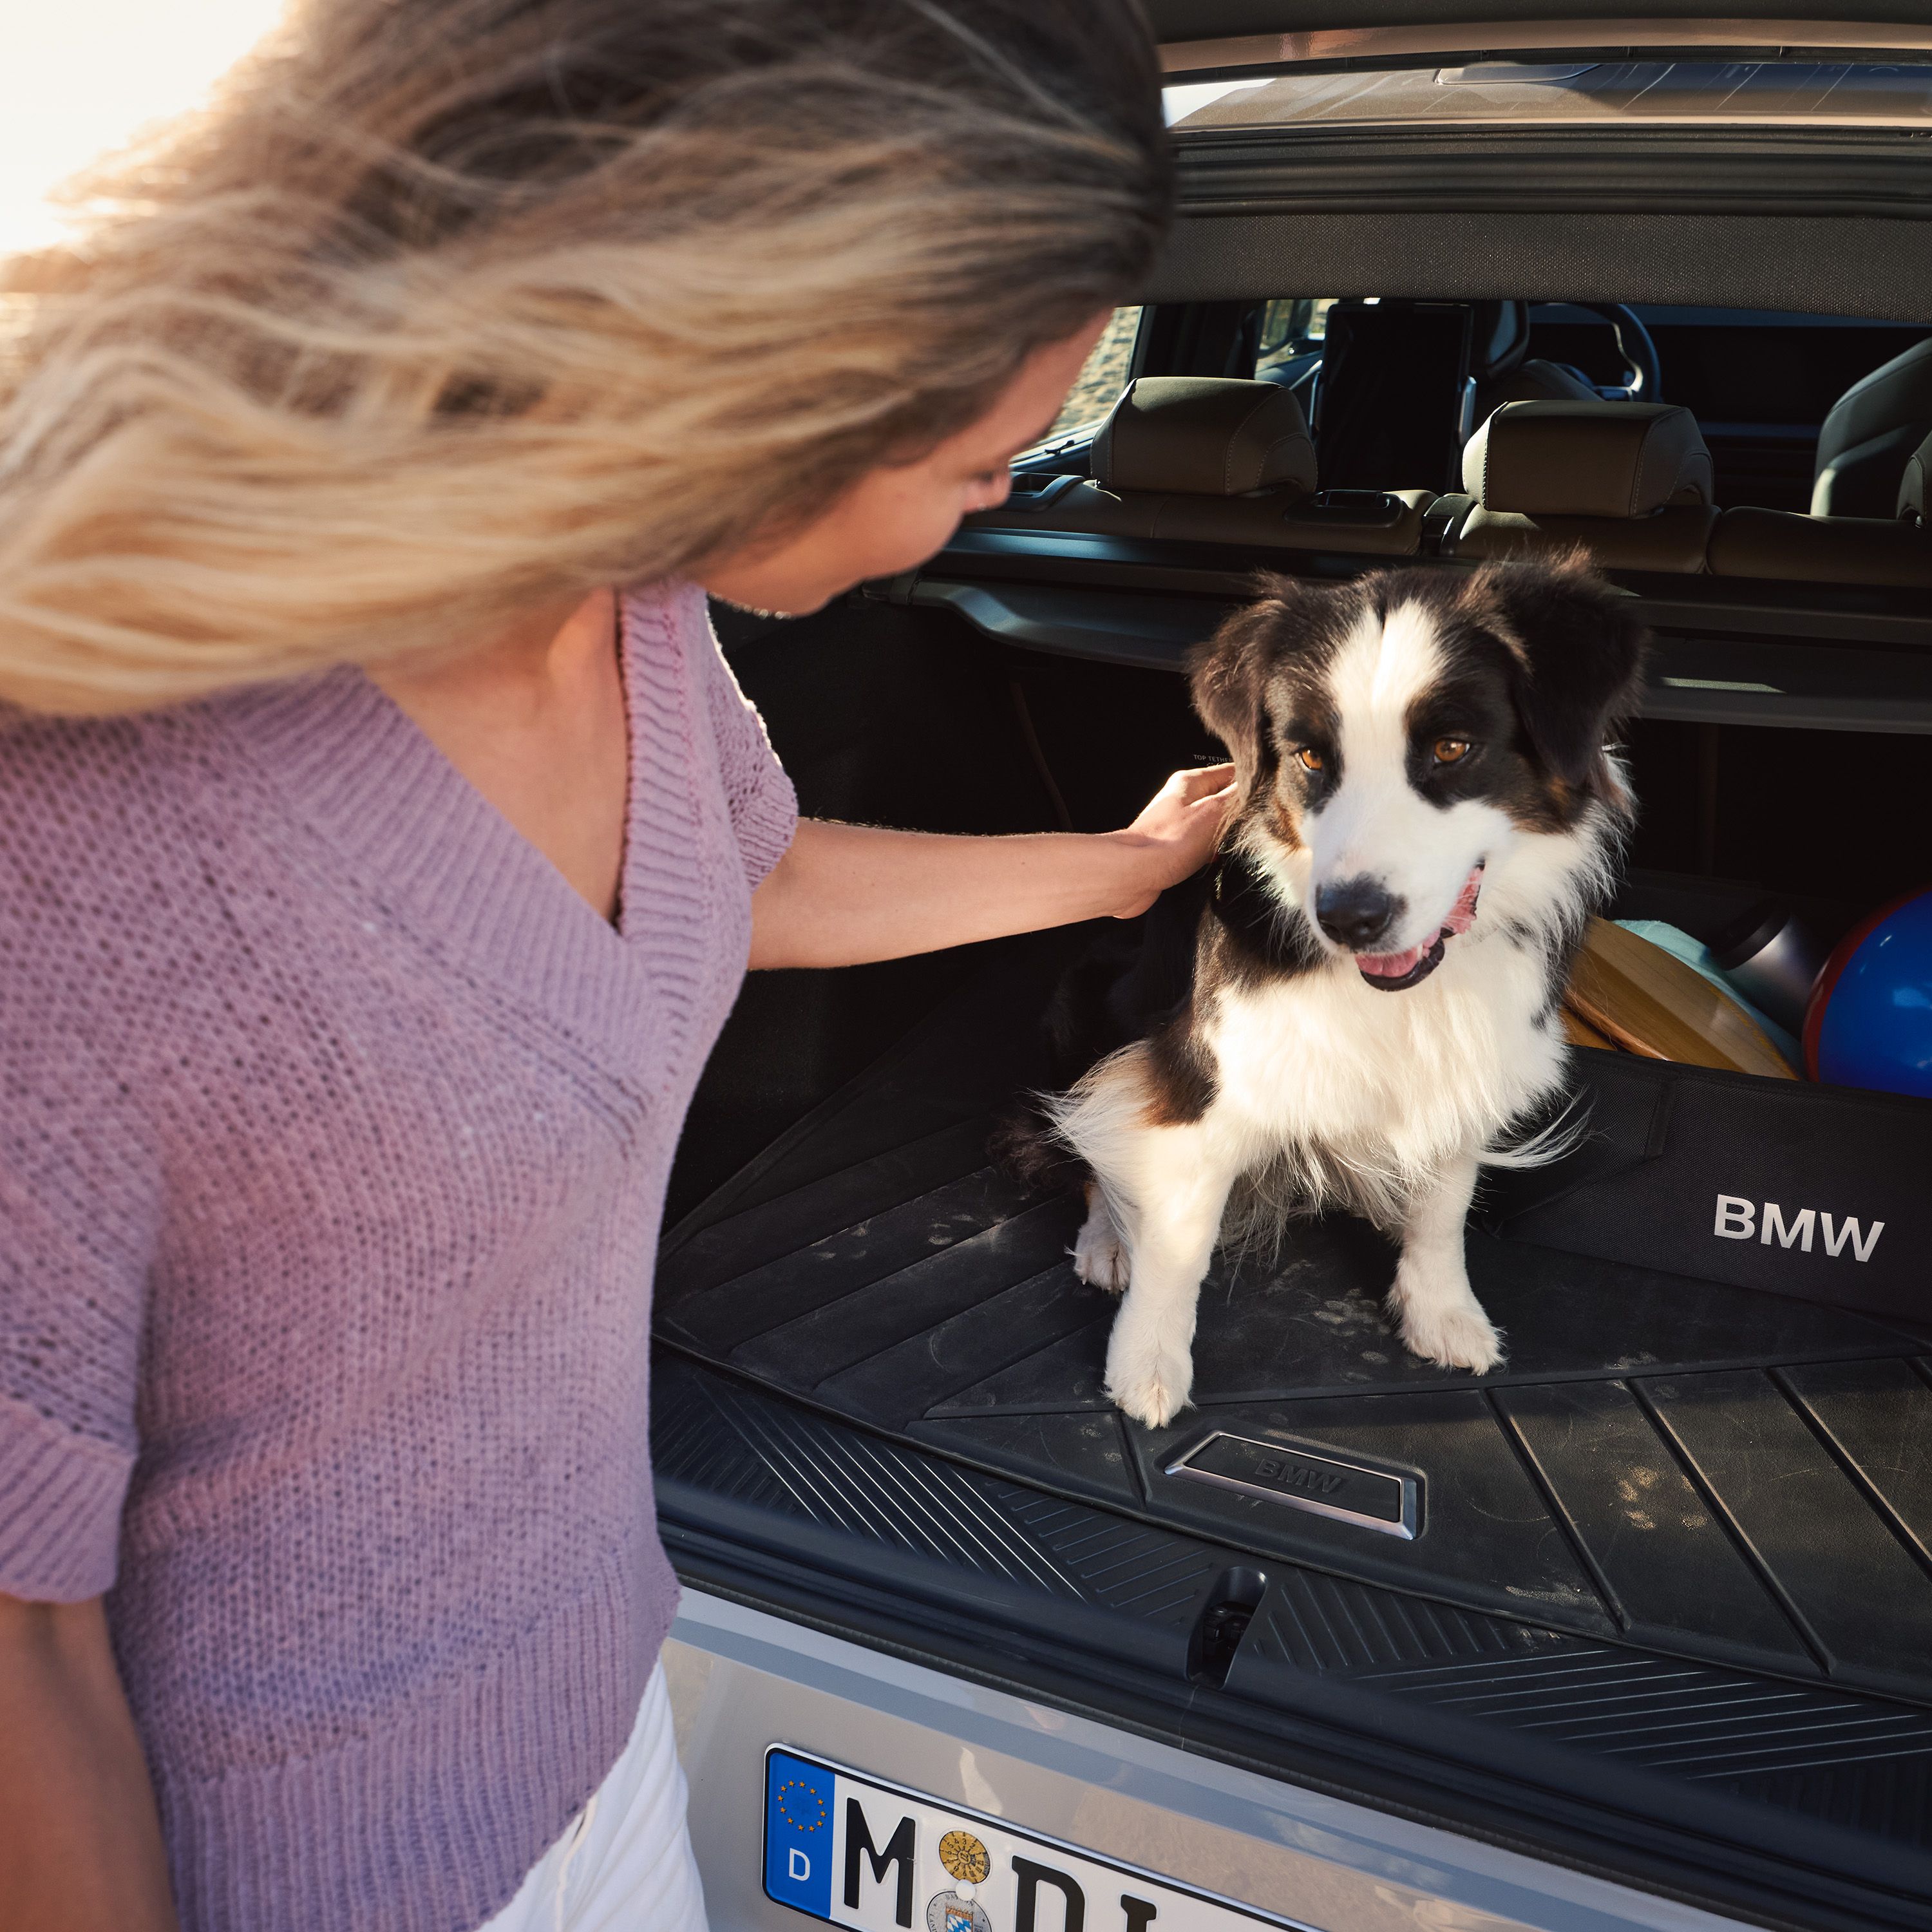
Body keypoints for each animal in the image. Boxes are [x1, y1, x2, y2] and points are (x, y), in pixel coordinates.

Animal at [1005, 553, 1654, 1430]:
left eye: (1452, 746)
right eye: (1311, 758)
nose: (1349, 918)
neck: (1405, 991)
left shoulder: (1473, 1058)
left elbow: (1445, 1203)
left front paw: (1442, 1311)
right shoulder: (1206, 1069)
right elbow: (1179, 1237)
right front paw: (1146, 1362)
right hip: (1093, 1006)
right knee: (1085, 1130)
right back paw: (1109, 1236)